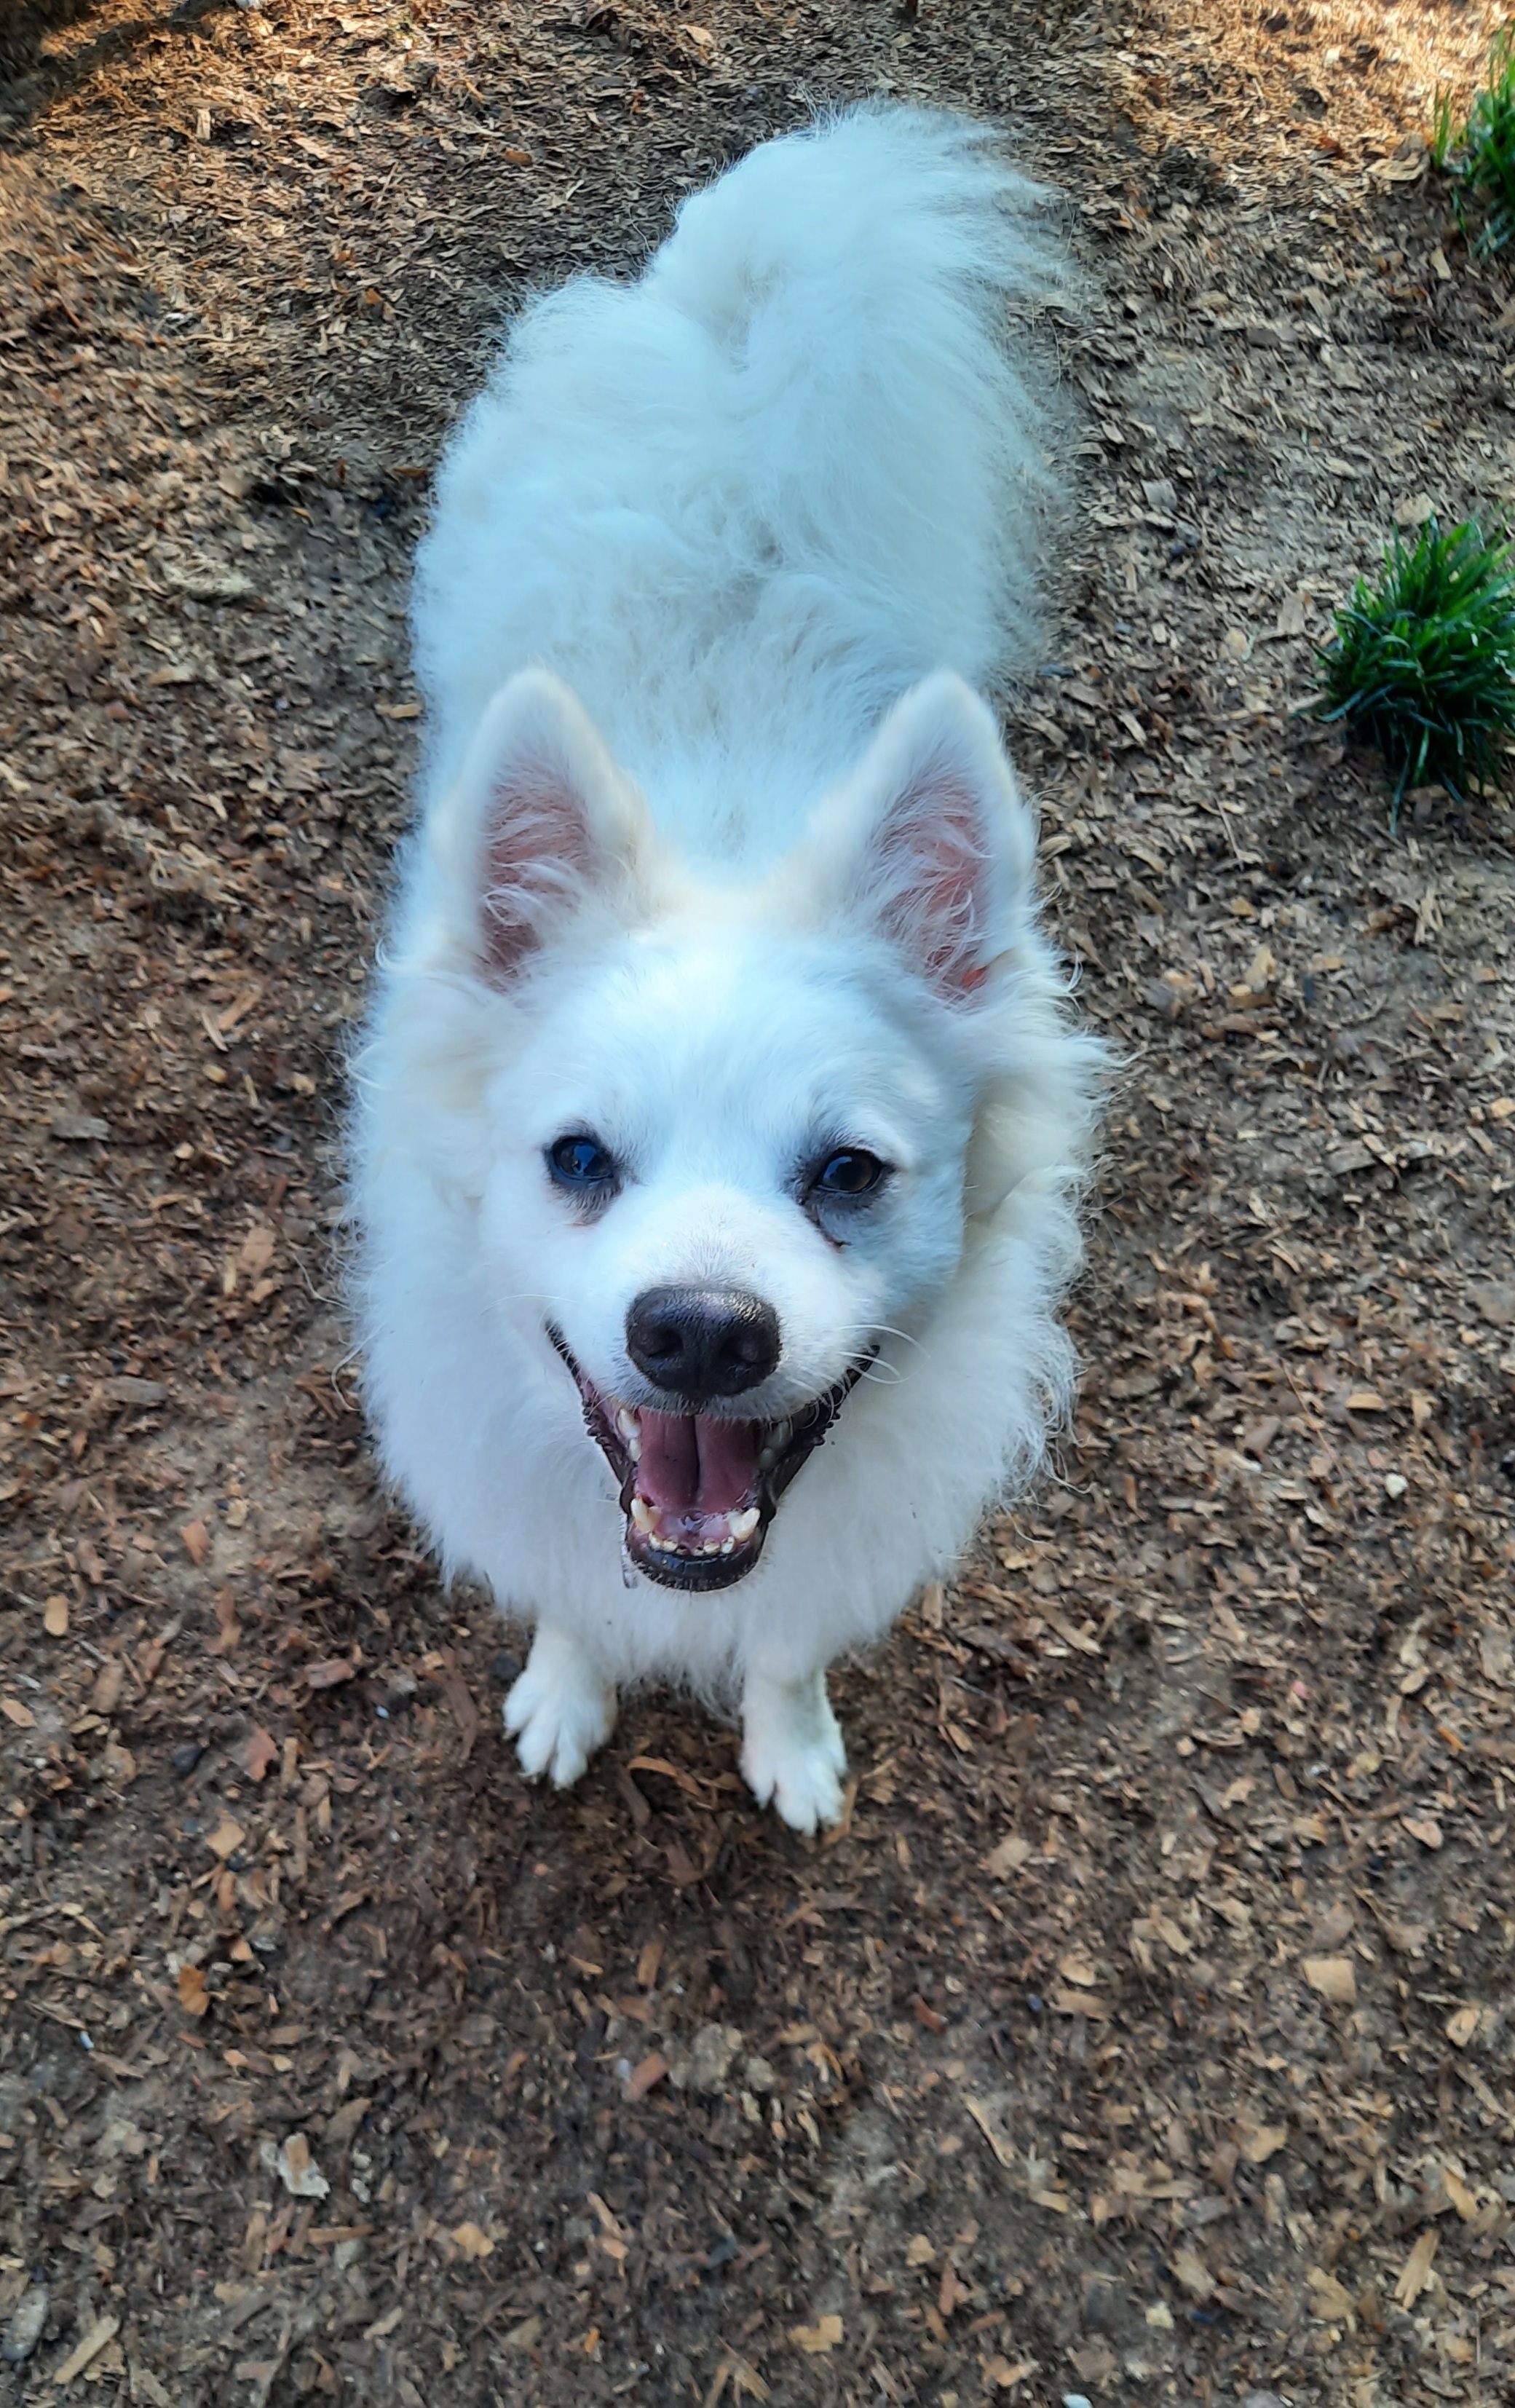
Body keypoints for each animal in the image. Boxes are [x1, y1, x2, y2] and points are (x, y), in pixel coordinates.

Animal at [361, 93, 1103, 1820]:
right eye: (576, 1157)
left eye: (847, 1172)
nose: (698, 1333)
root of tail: (727, 334)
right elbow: (574, 1603)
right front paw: (565, 1699)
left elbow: (786, 1644)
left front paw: (792, 1744)